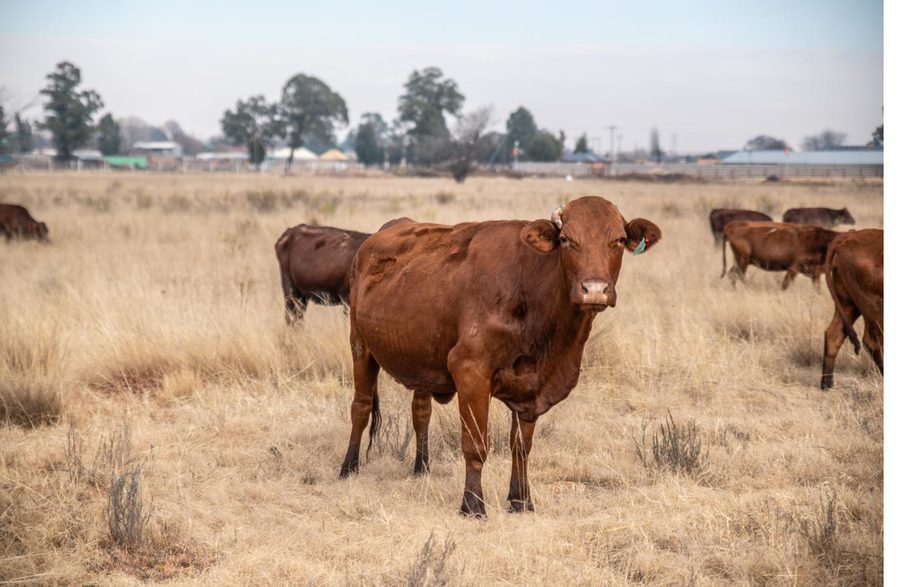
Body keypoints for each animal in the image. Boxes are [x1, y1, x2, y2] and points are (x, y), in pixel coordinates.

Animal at [338, 196, 661, 517]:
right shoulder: (471, 373)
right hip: (360, 346)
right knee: (361, 408)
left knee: (420, 412)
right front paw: (472, 504)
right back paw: (348, 468)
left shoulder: (530, 388)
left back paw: (422, 468)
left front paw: (521, 500)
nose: (594, 290)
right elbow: (476, 444)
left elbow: (520, 447)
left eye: (618, 240)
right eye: (567, 240)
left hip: (422, 362)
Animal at [820, 229, 883, 390]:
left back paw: (826, 385)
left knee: (834, 334)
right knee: (874, 342)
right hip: (874, 308)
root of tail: (850, 235)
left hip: (848, 305)